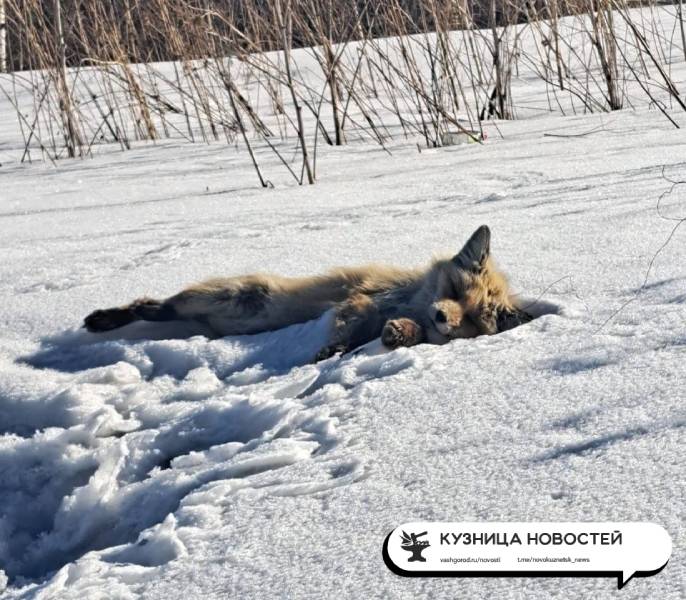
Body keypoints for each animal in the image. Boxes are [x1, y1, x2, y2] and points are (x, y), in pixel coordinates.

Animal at [83, 225, 532, 360]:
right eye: (454, 289)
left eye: (471, 319)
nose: (443, 318)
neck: (411, 300)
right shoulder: (362, 299)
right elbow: (350, 321)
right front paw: (333, 350)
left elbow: (401, 333)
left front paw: (400, 334)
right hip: (228, 295)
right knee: (152, 307)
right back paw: (107, 318)